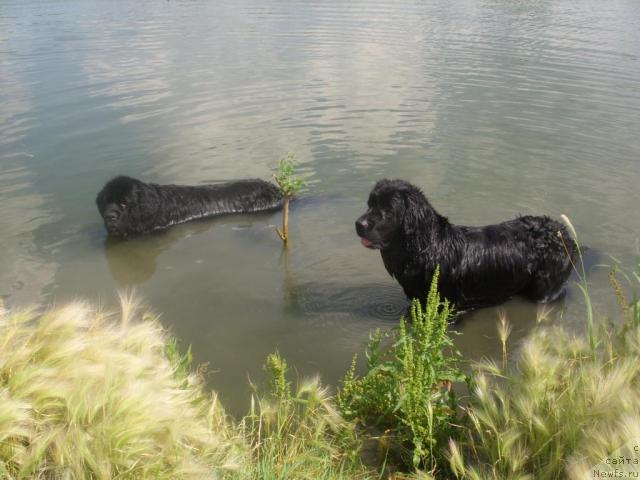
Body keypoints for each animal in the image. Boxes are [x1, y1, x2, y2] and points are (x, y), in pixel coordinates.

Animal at [356, 179, 580, 312]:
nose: (358, 224)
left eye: (388, 210)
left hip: (545, 287)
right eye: (370, 204)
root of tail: (563, 231)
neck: (427, 247)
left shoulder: (447, 304)